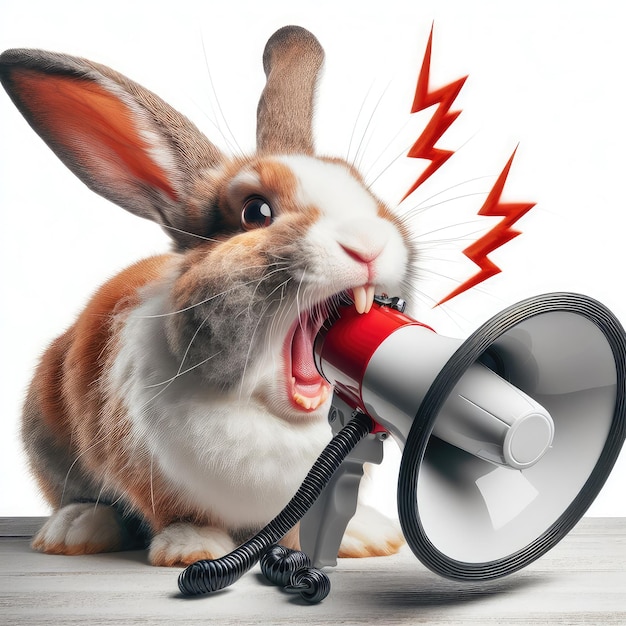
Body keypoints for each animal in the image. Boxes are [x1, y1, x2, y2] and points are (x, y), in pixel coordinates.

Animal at [1, 24, 414, 564]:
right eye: (256, 212)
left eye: (366, 192)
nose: (369, 243)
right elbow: (178, 513)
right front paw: (190, 548)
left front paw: (363, 539)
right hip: (42, 433)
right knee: (74, 495)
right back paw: (76, 529)